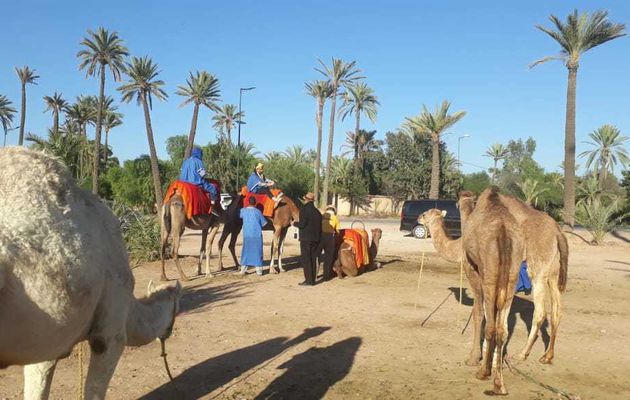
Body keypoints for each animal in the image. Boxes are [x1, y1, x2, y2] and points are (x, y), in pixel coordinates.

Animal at [462, 191, 572, 366]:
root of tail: (558, 232)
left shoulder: (473, 268)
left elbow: (479, 311)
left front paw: (474, 358)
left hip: (537, 267)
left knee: (540, 311)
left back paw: (522, 354)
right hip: (553, 272)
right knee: (556, 311)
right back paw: (547, 356)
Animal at [464, 187, 528, 394]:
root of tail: (503, 231)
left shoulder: (472, 267)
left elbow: (477, 312)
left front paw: (473, 358)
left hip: (489, 273)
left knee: (491, 326)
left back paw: (483, 373)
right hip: (512, 274)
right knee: (502, 329)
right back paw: (499, 384)